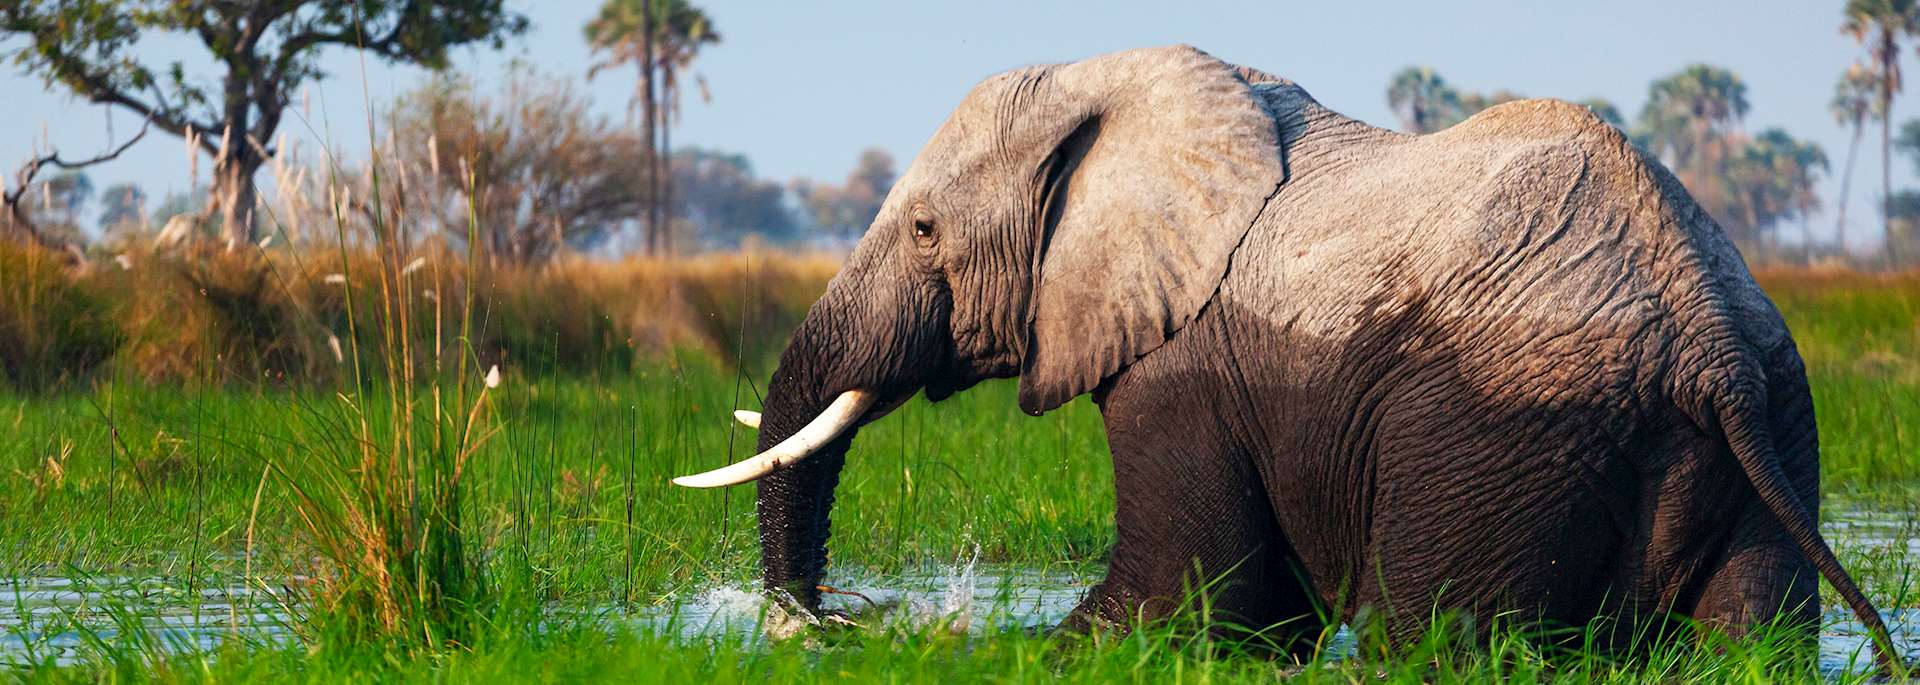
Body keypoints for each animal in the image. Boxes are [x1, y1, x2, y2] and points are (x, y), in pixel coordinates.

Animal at [675, 45, 1899, 671]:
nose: (831, 623)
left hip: (1494, 438)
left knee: (1434, 641)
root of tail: (1709, 342)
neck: (1129, 87)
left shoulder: (1182, 372)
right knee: (1750, 645)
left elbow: (1182, 606)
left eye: (925, 229)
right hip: (1775, 425)